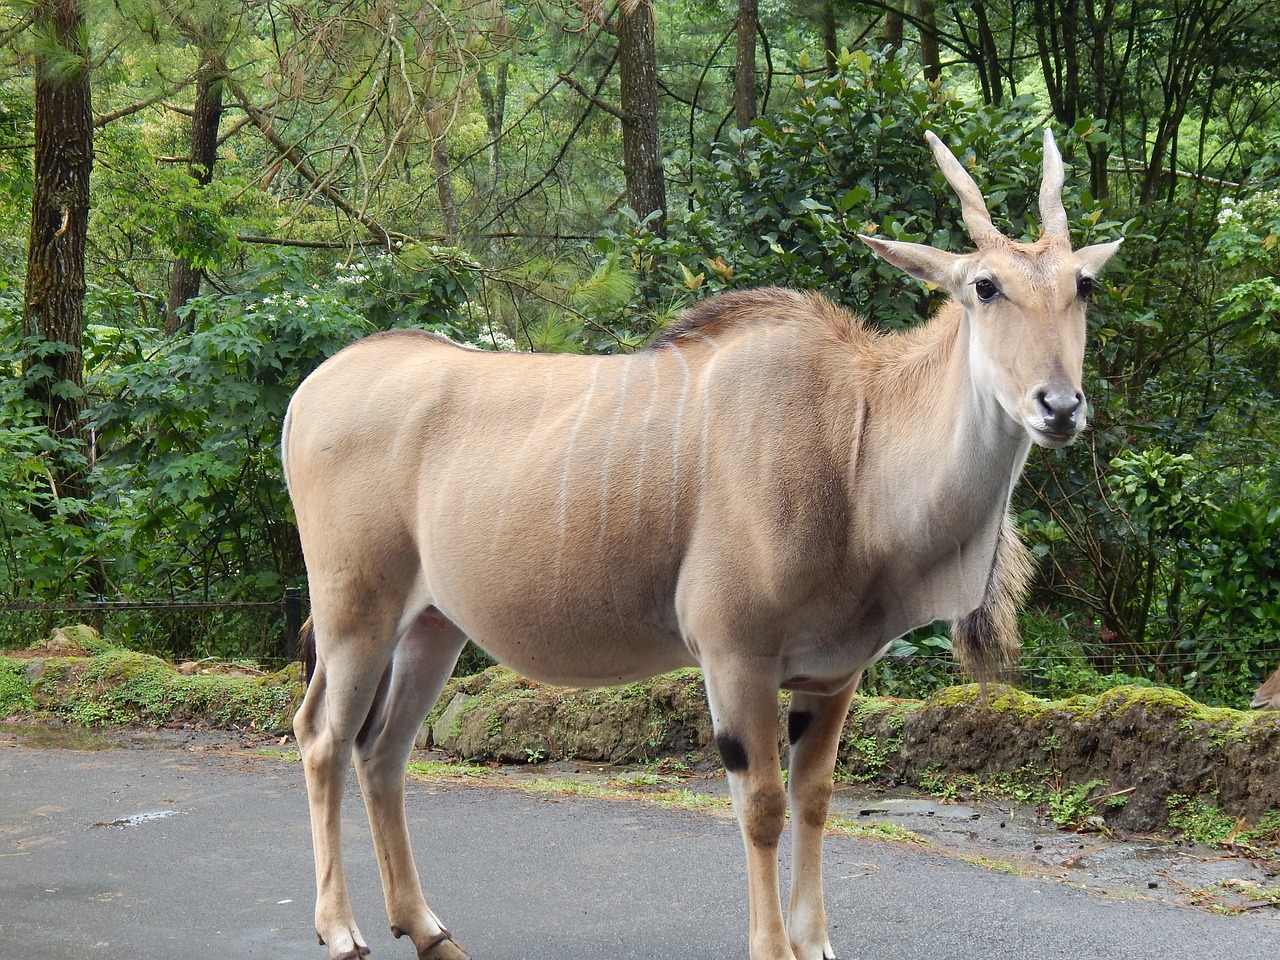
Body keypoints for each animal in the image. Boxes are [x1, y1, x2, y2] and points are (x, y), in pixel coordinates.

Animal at [280, 131, 1121, 960]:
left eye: (1083, 285)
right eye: (985, 286)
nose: (1059, 406)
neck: (855, 439)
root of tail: (313, 389)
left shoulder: (833, 674)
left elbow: (816, 797)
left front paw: (815, 943)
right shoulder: (734, 655)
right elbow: (763, 805)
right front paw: (776, 948)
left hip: (432, 625)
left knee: (383, 750)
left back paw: (425, 928)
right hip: (357, 611)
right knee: (323, 737)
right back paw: (341, 929)